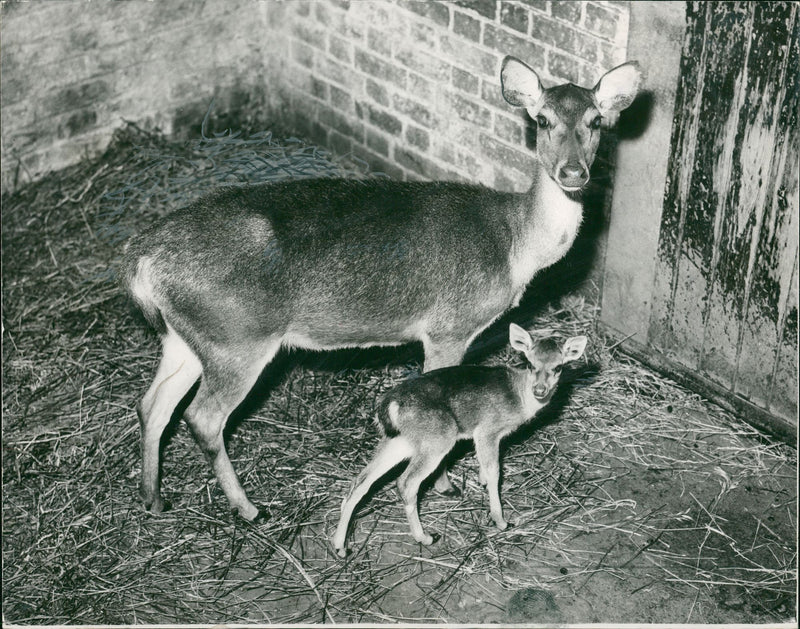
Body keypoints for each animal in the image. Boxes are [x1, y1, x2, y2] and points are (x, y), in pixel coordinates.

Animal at [123, 54, 636, 516]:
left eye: (596, 120)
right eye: (543, 119)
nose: (573, 172)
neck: (515, 247)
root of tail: (141, 261)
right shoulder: (449, 326)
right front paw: (445, 483)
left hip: (186, 336)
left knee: (153, 403)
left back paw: (154, 498)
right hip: (236, 338)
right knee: (203, 417)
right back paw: (248, 508)